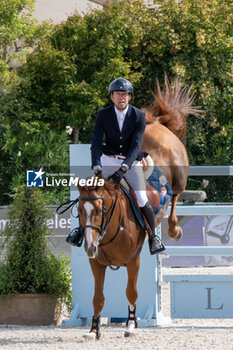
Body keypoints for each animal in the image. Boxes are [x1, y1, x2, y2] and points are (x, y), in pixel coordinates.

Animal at [77, 76, 201, 340]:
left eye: (100, 211)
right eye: (80, 212)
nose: (90, 247)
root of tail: (156, 123)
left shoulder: (133, 261)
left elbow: (131, 292)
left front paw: (131, 325)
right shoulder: (97, 264)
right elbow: (97, 298)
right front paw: (94, 330)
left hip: (179, 174)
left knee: (176, 196)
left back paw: (174, 230)